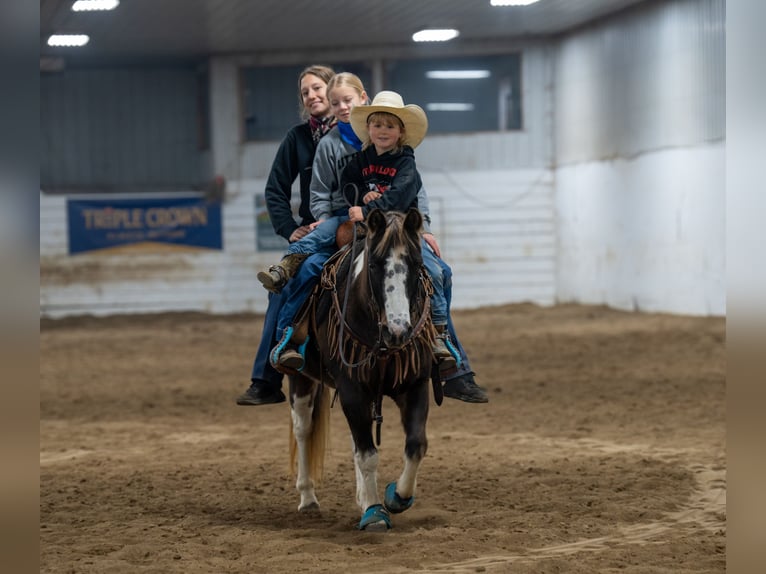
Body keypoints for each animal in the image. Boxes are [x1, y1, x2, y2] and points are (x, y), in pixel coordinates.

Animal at [284, 209, 440, 532]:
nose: (398, 330)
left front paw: (396, 497)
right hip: (300, 378)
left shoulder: (415, 384)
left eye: (417, 264)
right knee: (304, 428)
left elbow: (416, 444)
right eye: (374, 264)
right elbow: (367, 454)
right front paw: (374, 511)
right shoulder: (352, 389)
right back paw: (308, 498)